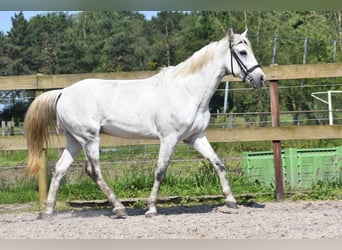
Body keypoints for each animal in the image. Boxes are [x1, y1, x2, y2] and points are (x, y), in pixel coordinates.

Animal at [24, 28, 264, 218]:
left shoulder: (194, 137)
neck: (187, 91)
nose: (260, 78)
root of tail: (63, 92)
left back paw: (48, 212)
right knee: (94, 171)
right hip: (89, 138)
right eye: (242, 52)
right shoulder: (169, 138)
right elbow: (160, 171)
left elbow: (218, 163)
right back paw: (119, 208)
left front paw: (231, 201)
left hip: (74, 140)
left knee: (59, 170)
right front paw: (151, 209)